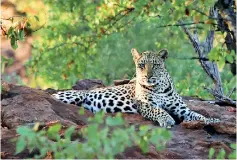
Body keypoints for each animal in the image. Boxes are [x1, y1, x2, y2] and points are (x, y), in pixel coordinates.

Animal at [51, 47, 220, 127]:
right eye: (141, 66)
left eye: (155, 65)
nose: (147, 77)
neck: (159, 88)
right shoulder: (144, 104)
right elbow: (158, 110)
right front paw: (167, 120)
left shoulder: (181, 109)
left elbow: (197, 115)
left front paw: (212, 120)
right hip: (74, 95)